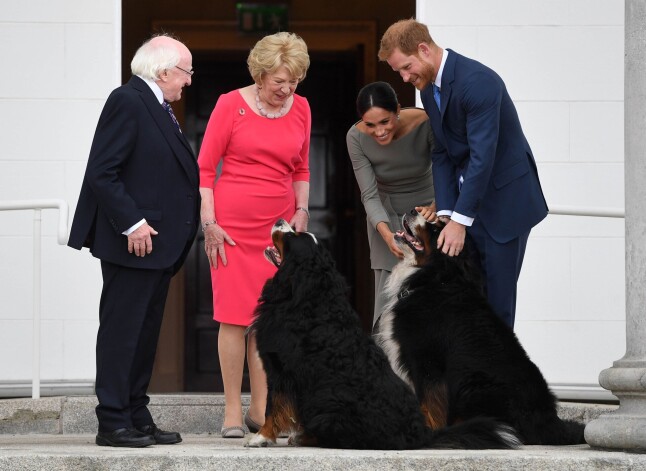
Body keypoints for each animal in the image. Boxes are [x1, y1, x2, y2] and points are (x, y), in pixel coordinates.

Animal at [246, 219, 520, 452]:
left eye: (293, 236)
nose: (281, 220)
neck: (304, 295)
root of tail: (422, 434)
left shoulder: (280, 369)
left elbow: (273, 405)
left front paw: (261, 437)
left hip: (327, 406)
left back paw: (304, 437)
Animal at [378, 210, 588, 446]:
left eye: (435, 231)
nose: (414, 211)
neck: (432, 278)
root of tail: (550, 422)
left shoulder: (428, 362)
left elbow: (429, 403)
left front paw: (429, 433)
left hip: (473, 385)